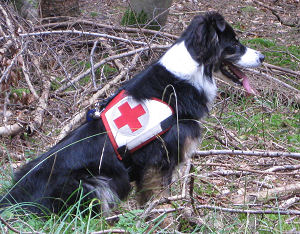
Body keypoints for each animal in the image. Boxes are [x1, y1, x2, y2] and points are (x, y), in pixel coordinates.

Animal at [0, 11, 264, 216]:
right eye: (235, 44)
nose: (262, 56)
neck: (188, 75)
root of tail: (12, 200)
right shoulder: (160, 158)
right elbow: (159, 196)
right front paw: (163, 216)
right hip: (94, 183)